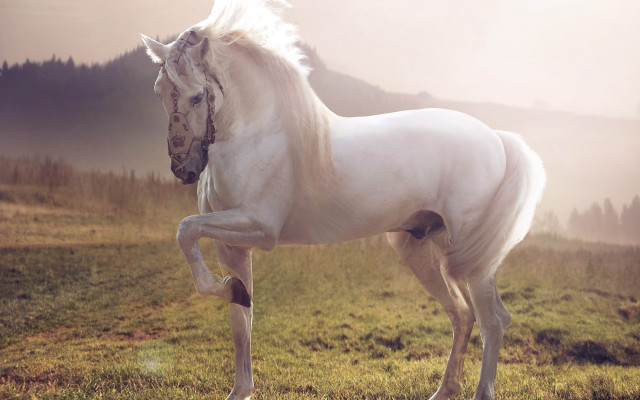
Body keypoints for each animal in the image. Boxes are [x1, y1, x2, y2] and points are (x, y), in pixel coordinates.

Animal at [141, 1, 545, 399]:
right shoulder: (232, 246)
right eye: (158, 92)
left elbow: (185, 231)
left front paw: (226, 289)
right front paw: (239, 375)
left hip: (472, 259)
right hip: (421, 250)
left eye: (197, 96)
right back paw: (444, 390)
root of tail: (496, 137)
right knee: (462, 314)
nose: (183, 168)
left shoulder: (258, 228)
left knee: (493, 320)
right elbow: (240, 320)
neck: (256, 133)